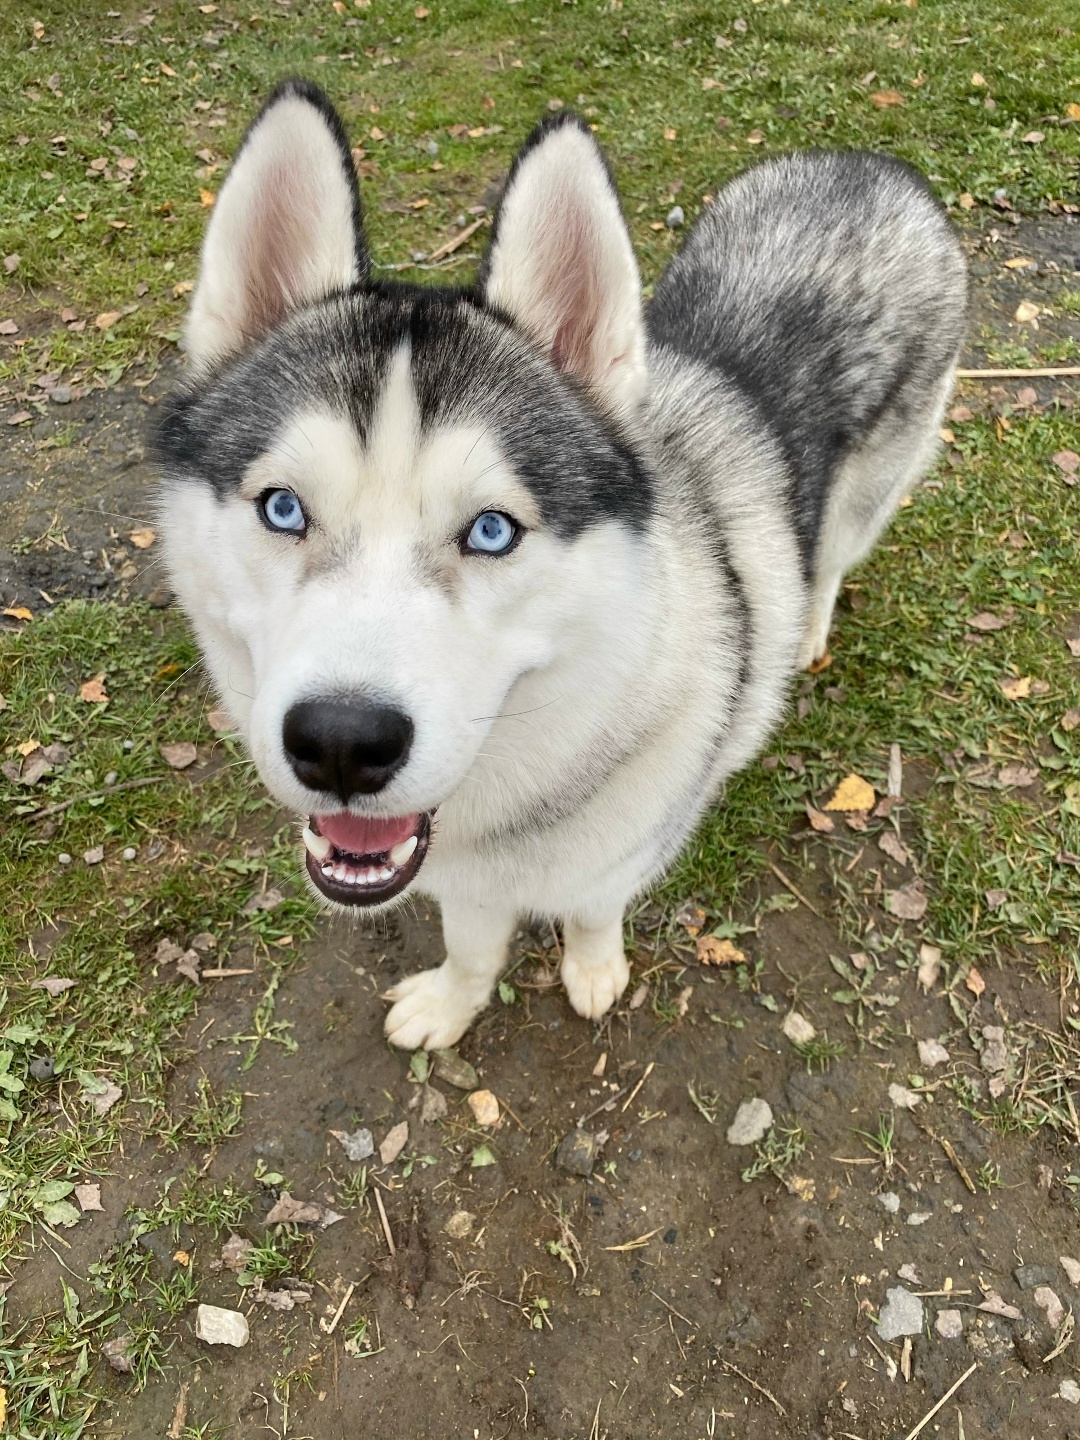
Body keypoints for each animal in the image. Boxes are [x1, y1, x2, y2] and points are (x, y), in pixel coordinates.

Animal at [155, 79, 967, 1051]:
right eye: (284, 508)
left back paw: (807, 626)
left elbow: (590, 912)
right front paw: (452, 1003)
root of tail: (868, 165)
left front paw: (591, 969)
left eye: (491, 531)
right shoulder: (460, 879)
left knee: (835, 557)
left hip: (870, 492)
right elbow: (471, 949)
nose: (342, 744)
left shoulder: (619, 856)